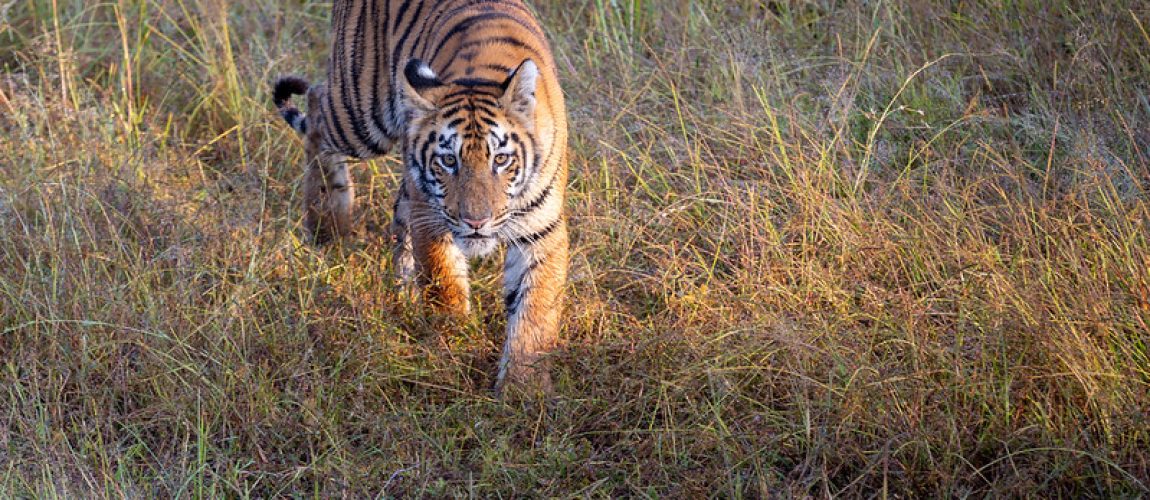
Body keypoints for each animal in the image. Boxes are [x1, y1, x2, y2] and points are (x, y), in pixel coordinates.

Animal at [272, 0, 568, 396]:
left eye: (501, 159)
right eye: (448, 160)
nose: (476, 222)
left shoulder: (541, 230)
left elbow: (535, 312)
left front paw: (524, 391)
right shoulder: (431, 216)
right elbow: (444, 285)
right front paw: (455, 346)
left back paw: (401, 292)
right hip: (362, 115)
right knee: (318, 105)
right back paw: (327, 224)